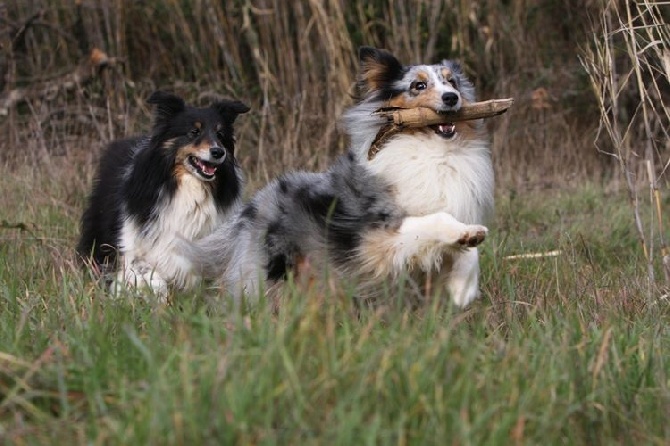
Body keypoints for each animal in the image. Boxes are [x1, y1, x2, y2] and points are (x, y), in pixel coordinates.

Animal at [77, 90, 249, 300]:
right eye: (194, 132)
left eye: (220, 134)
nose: (218, 152)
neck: (188, 187)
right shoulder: (135, 242)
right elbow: (148, 274)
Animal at [181, 48, 496, 306]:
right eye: (418, 85)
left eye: (452, 82)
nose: (451, 98)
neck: (435, 152)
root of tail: (250, 208)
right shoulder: (378, 232)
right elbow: (438, 219)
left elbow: (465, 245)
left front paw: (463, 285)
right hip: (272, 268)